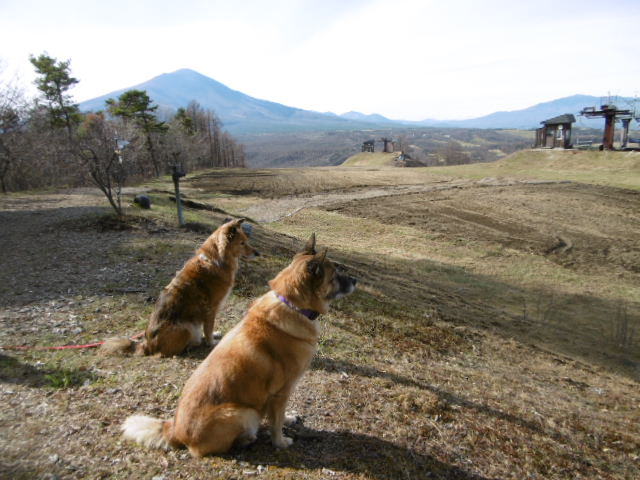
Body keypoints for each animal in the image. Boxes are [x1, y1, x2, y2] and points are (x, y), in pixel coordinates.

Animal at [100, 218, 258, 356]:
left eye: (246, 241)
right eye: (242, 243)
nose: (258, 253)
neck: (216, 260)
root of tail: (147, 345)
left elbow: (208, 328)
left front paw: (214, 335)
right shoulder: (210, 309)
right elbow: (208, 328)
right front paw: (212, 342)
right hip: (186, 328)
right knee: (163, 353)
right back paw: (192, 344)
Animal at [122, 235, 358, 458]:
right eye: (335, 275)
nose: (356, 280)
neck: (292, 304)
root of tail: (175, 431)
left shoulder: (280, 397)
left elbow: (279, 416)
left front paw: (288, 418)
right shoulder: (281, 392)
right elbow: (275, 423)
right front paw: (280, 442)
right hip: (245, 414)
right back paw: (246, 440)